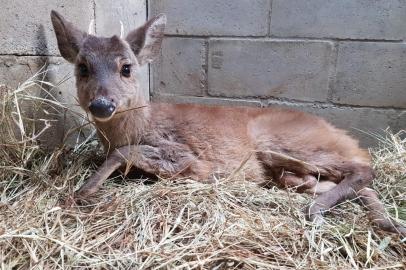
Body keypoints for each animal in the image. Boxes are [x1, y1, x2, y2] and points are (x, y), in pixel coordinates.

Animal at [50, 10, 406, 234]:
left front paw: (83, 191)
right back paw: (384, 221)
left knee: (365, 168)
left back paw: (319, 210)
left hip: (285, 143)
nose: (102, 103)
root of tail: (343, 136)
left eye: (126, 68)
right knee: (349, 182)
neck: (138, 124)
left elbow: (125, 153)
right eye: (82, 67)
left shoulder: (187, 157)